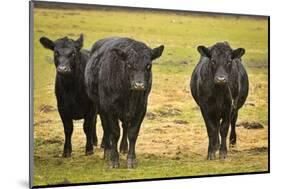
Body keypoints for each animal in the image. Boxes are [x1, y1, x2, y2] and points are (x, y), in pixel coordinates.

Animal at [85, 37, 164, 168]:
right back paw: (107, 151)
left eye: (148, 65)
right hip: (100, 107)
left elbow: (133, 133)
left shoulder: (141, 108)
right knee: (106, 128)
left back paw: (123, 148)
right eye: (129, 64)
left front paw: (131, 159)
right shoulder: (109, 108)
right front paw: (113, 159)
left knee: (125, 126)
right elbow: (114, 132)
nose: (139, 85)